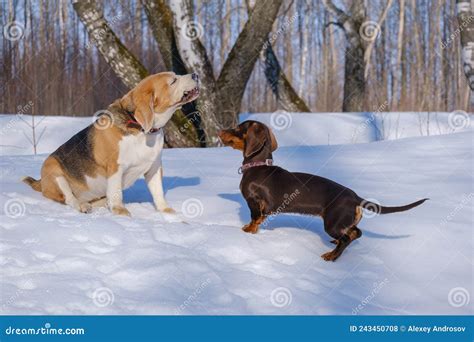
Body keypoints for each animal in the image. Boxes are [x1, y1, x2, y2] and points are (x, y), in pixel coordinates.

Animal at [23, 71, 200, 216]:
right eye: (173, 80)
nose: (196, 74)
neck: (141, 129)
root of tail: (41, 183)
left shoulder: (154, 167)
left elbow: (158, 193)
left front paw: (166, 211)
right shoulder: (115, 167)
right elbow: (116, 192)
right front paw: (120, 211)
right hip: (54, 170)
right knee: (70, 199)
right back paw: (82, 205)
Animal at [218, 121, 430, 262]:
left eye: (237, 128)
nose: (219, 131)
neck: (258, 166)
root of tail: (355, 197)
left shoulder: (254, 202)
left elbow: (254, 219)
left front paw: (247, 232)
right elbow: (259, 219)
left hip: (332, 223)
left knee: (347, 237)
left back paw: (331, 256)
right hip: (341, 222)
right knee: (356, 232)